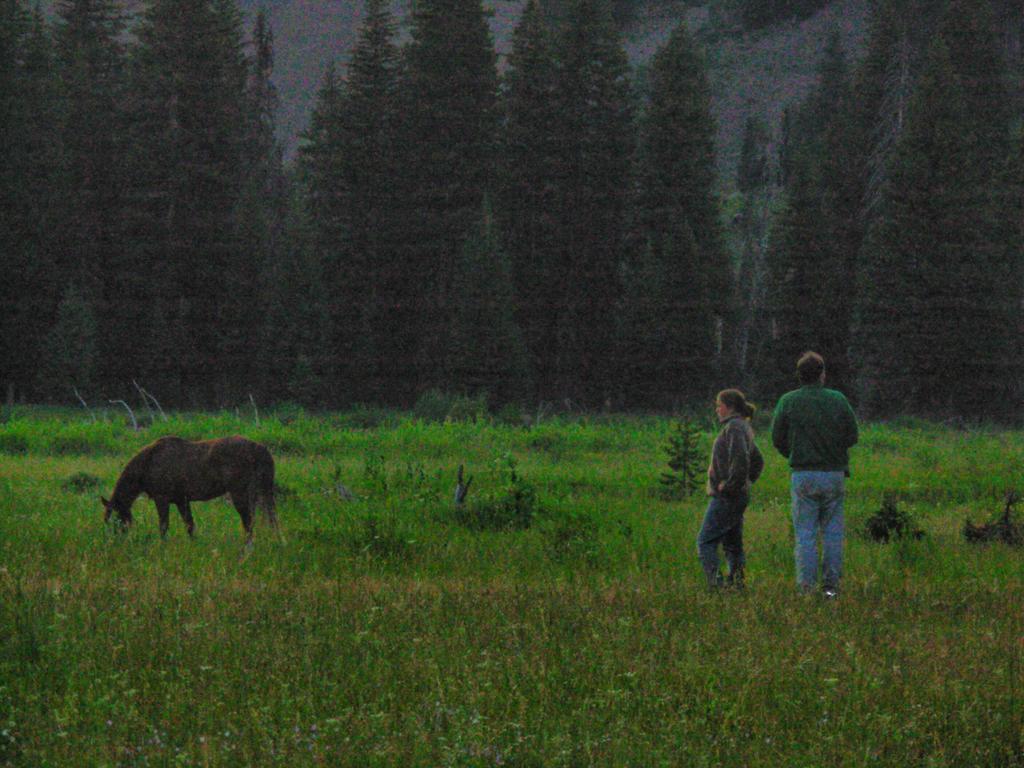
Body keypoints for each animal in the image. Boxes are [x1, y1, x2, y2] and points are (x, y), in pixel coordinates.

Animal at [101, 436, 278, 544]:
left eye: (116, 519)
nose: (116, 541)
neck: (149, 462)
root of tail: (260, 448)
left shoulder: (162, 499)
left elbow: (164, 525)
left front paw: (162, 545)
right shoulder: (181, 501)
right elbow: (190, 525)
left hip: (240, 494)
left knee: (248, 522)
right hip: (261, 493)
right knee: (270, 519)